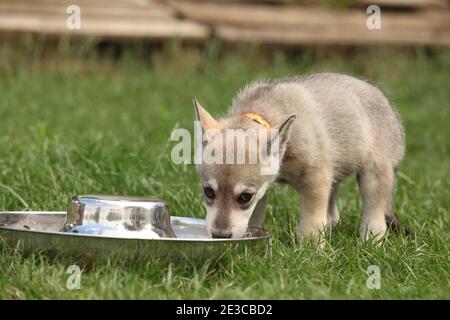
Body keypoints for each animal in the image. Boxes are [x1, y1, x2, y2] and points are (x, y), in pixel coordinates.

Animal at [193, 72, 404, 242]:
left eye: (245, 197)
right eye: (208, 192)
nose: (219, 236)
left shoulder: (315, 180)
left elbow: (310, 225)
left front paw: (312, 253)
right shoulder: (264, 190)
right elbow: (253, 219)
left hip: (373, 176)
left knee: (375, 217)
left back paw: (370, 242)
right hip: (334, 177)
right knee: (333, 214)